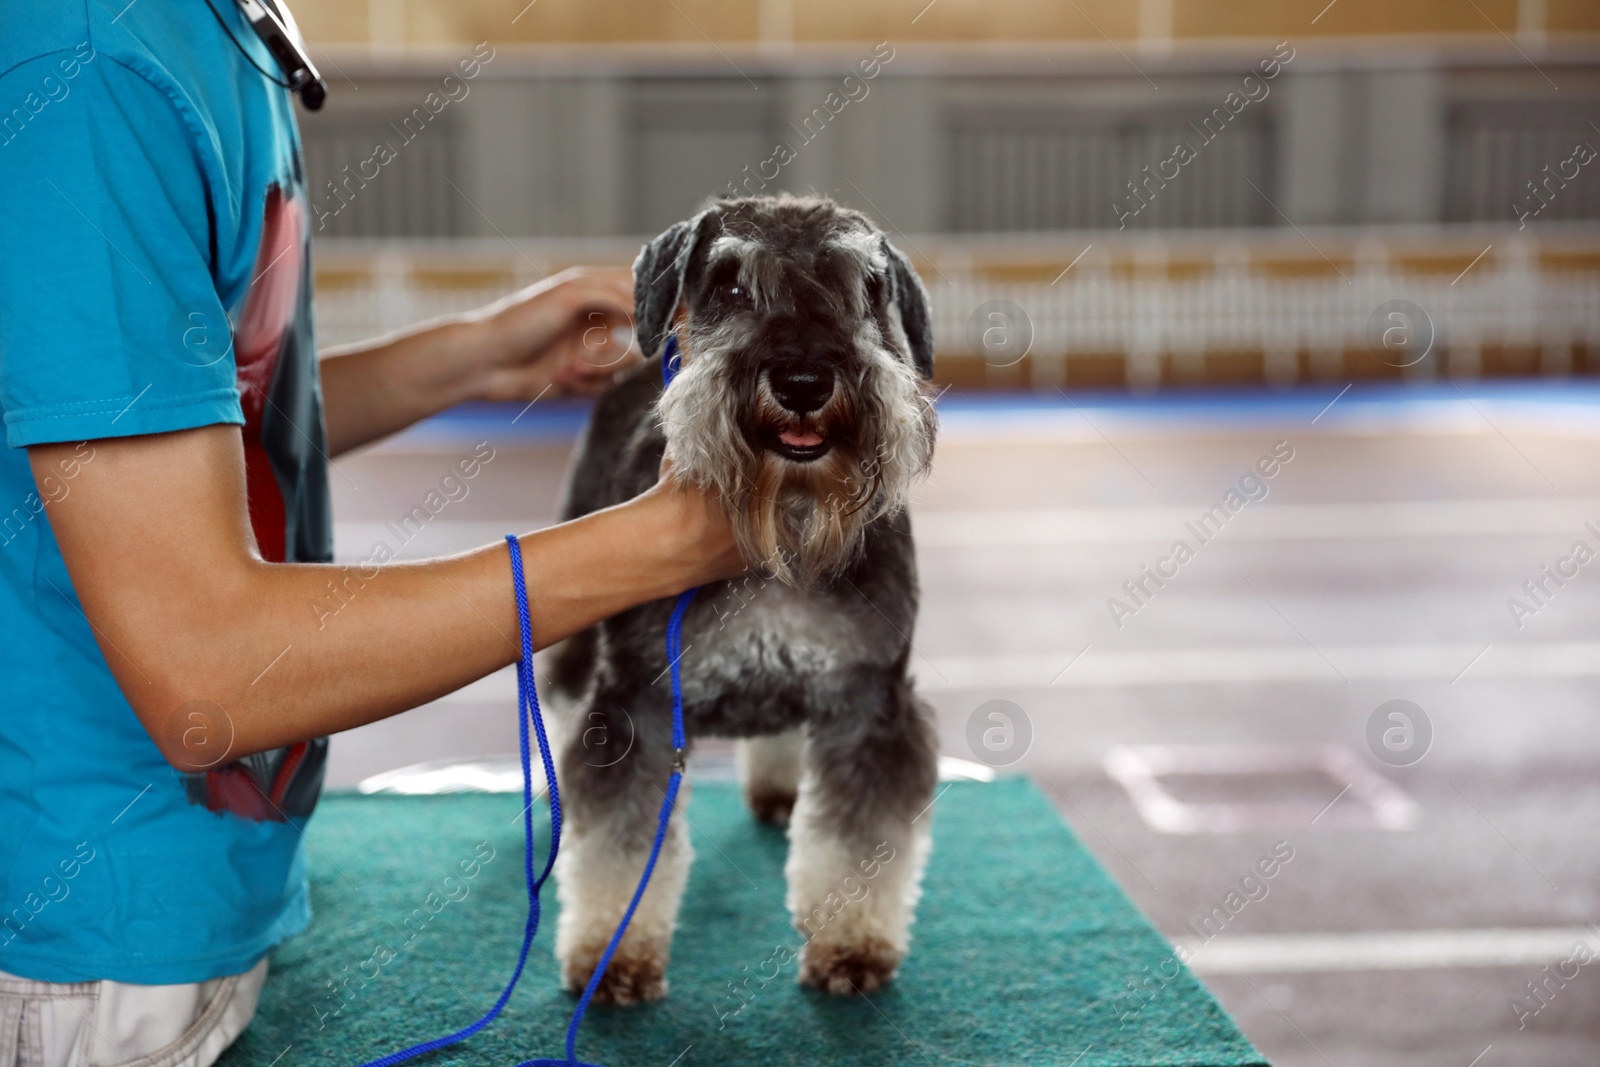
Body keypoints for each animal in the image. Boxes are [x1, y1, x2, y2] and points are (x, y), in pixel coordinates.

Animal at [553, 195, 934, 1004]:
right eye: (728, 284)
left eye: (867, 287)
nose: (802, 380)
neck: (785, 522)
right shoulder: (633, 707)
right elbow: (618, 847)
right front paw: (611, 955)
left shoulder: (870, 703)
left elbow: (857, 843)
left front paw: (850, 946)